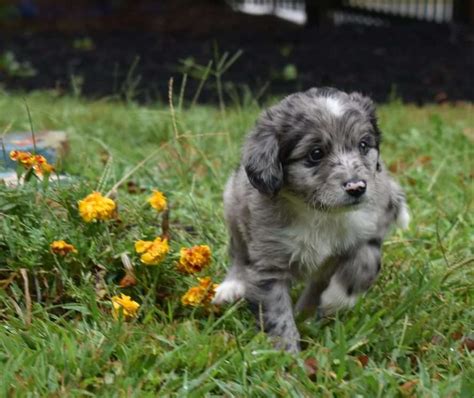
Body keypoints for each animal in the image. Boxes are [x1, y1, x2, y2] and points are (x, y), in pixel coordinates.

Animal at [213, 87, 410, 352]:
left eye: (363, 145)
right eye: (316, 154)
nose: (357, 187)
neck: (320, 213)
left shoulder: (369, 231)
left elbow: (364, 265)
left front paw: (336, 300)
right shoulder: (268, 264)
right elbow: (277, 315)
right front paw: (286, 353)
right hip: (234, 207)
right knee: (238, 252)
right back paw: (231, 287)